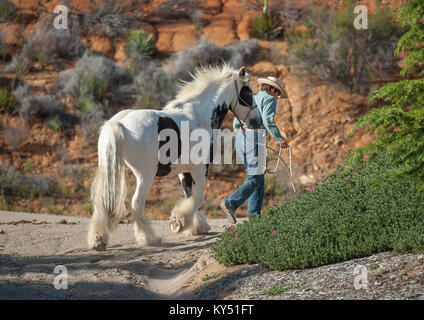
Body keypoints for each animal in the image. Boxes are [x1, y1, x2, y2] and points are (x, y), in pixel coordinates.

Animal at [88, 64, 264, 250]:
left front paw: (196, 226)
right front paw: (180, 222)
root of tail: (118, 123)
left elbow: (189, 195)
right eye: (248, 92)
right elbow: (197, 197)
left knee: (101, 202)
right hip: (146, 175)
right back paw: (149, 238)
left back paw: (98, 240)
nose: (257, 121)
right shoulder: (201, 167)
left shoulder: (184, 170)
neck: (200, 114)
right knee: (137, 203)